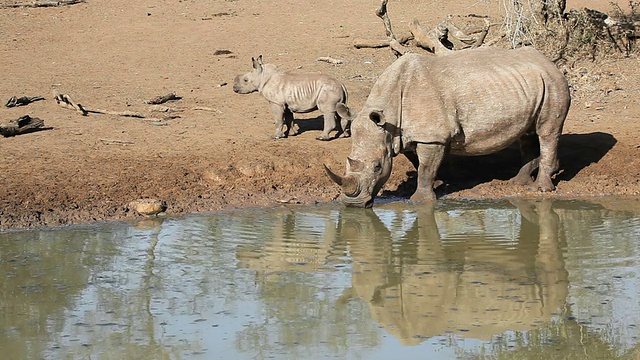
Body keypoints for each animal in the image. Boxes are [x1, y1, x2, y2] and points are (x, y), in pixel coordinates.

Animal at [328, 47, 572, 208]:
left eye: (378, 167)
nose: (353, 204)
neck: (389, 116)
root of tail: (550, 62)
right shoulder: (401, 134)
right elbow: (418, 163)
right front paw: (436, 182)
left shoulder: (431, 137)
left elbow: (426, 166)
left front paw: (421, 200)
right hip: (532, 84)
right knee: (527, 134)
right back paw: (519, 182)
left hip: (553, 83)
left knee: (547, 132)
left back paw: (540, 189)